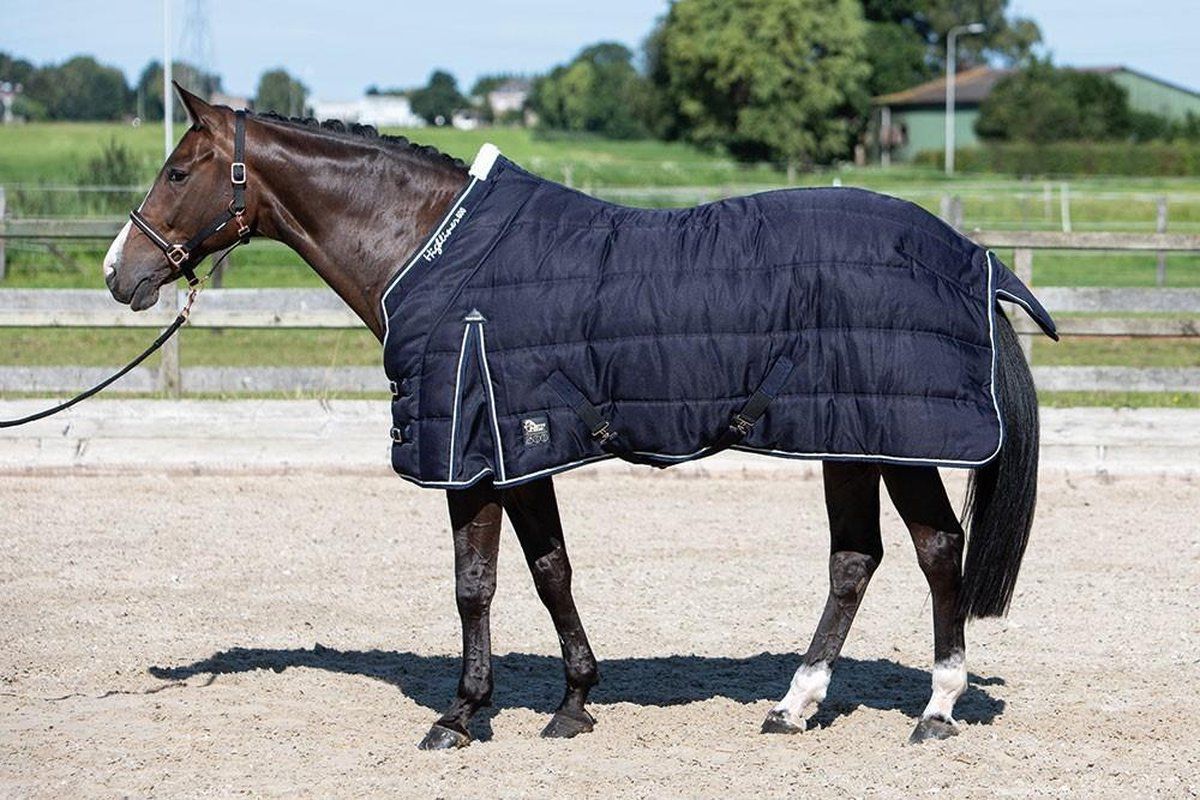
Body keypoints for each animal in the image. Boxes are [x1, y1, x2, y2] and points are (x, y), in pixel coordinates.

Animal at [103, 86, 1045, 749]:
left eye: (178, 171)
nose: (120, 272)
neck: (430, 250)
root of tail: (971, 258)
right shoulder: (520, 450)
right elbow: (549, 569)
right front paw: (574, 702)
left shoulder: (471, 453)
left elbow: (475, 584)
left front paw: (460, 716)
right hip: (847, 437)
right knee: (856, 561)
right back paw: (794, 705)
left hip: (897, 440)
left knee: (937, 551)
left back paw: (936, 709)